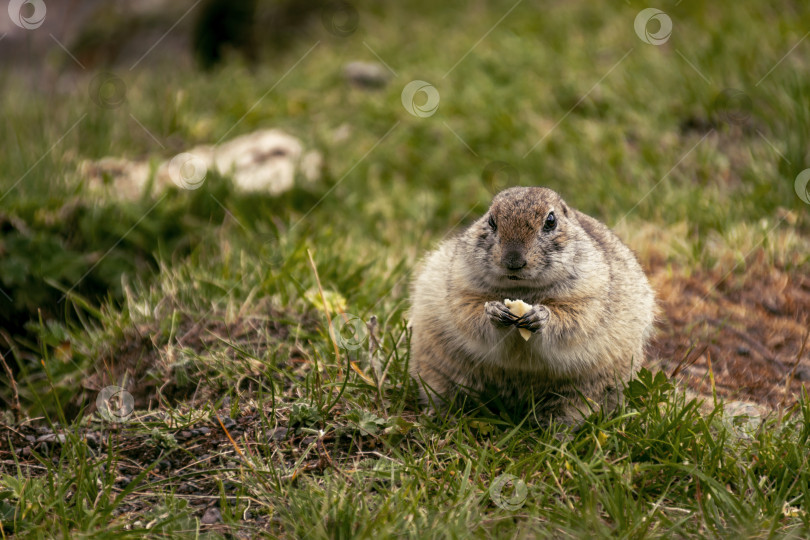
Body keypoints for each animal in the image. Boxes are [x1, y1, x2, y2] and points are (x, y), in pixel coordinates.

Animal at [408, 188, 652, 424]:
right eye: (491, 221)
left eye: (551, 221)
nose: (513, 261)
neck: (521, 289)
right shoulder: (461, 284)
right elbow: (467, 310)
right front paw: (494, 311)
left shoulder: (590, 292)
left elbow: (575, 317)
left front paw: (540, 316)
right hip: (436, 369)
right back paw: (439, 416)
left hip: (588, 390)